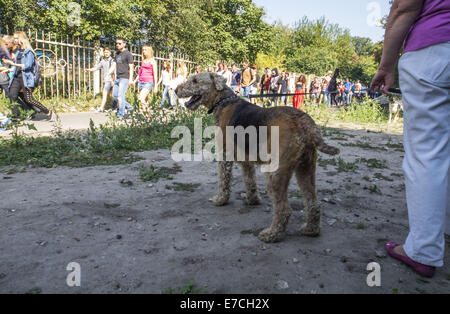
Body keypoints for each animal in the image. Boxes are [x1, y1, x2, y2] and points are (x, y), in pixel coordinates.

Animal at [176, 73, 338, 243]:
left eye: (195, 81)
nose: (175, 90)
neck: (223, 101)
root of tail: (304, 123)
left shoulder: (225, 156)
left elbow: (224, 182)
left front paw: (220, 200)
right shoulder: (246, 161)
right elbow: (250, 181)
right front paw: (253, 200)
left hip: (275, 173)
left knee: (284, 209)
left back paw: (271, 234)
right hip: (306, 168)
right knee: (313, 203)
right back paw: (310, 230)